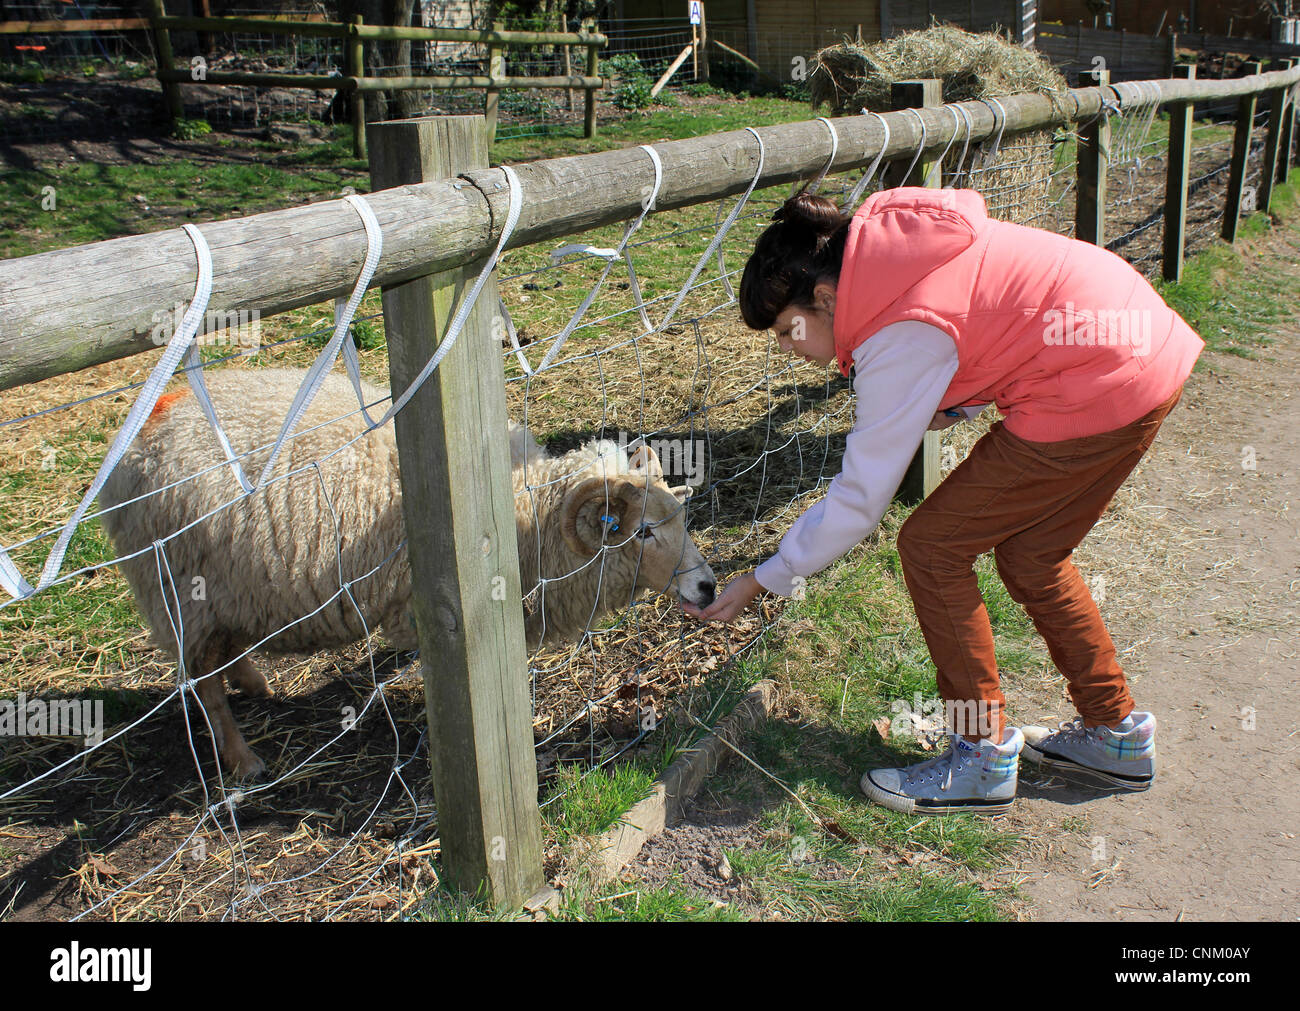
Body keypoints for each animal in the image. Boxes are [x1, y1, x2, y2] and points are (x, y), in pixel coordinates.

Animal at [98, 367, 716, 779]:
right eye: (642, 533)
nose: (708, 586)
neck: (520, 509)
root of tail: (148, 424)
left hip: (221, 591)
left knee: (222, 657)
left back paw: (255, 683)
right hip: (179, 592)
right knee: (203, 681)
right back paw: (243, 758)